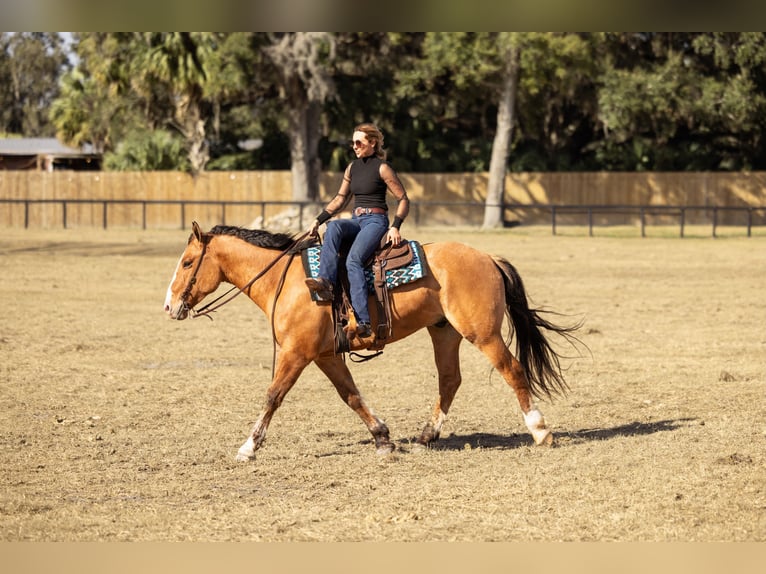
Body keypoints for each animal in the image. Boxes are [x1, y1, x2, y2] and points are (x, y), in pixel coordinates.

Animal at [164, 221, 581, 461]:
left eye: (187, 263)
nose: (169, 306)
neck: (290, 281)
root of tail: (489, 257)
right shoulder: (325, 355)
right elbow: (351, 395)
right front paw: (382, 438)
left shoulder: (296, 353)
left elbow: (273, 396)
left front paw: (248, 447)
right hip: (444, 331)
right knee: (449, 381)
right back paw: (426, 437)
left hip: (482, 332)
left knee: (512, 369)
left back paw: (540, 431)